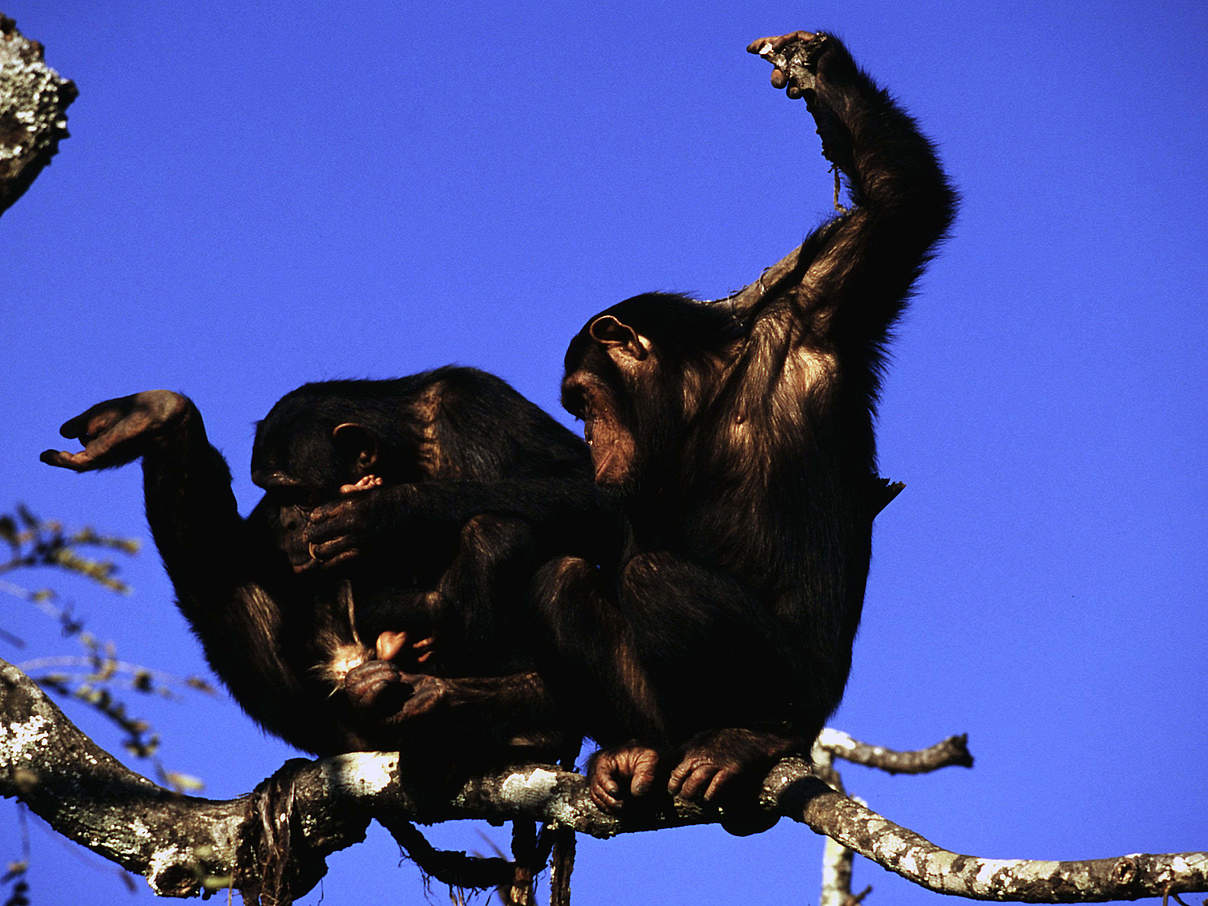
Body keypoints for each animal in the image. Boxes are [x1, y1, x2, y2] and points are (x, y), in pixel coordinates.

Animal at [41, 369, 608, 768]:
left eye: (295, 490)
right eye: (271, 491)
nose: (286, 518)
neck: (403, 455)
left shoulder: (475, 401)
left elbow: (587, 487)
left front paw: (383, 515)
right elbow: (239, 558)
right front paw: (145, 418)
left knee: (497, 528)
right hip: (336, 724)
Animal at [533, 32, 956, 811]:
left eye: (582, 402)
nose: (588, 438)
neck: (701, 394)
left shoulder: (822, 310)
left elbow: (903, 204)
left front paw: (817, 65)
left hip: (802, 697)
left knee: (658, 583)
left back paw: (750, 739)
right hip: (674, 722)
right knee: (563, 581)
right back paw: (639, 751)